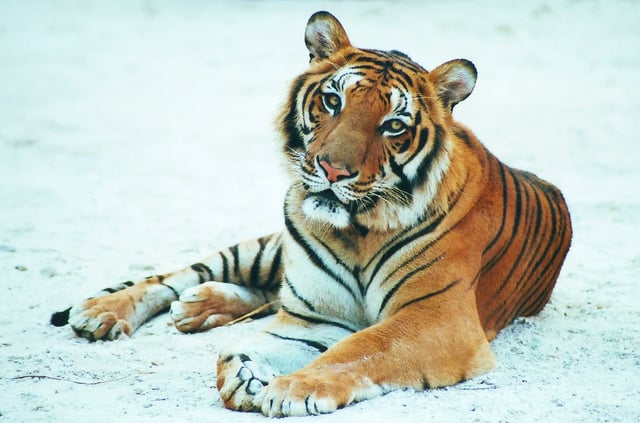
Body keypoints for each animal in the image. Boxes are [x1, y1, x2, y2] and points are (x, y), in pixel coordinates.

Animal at [51, 11, 572, 417]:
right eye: (332, 100)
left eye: (393, 126)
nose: (333, 169)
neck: (358, 231)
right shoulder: (315, 315)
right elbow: (273, 340)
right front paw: (245, 371)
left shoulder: (436, 318)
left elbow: (362, 348)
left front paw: (290, 386)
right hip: (268, 246)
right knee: (188, 274)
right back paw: (108, 310)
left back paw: (200, 307)